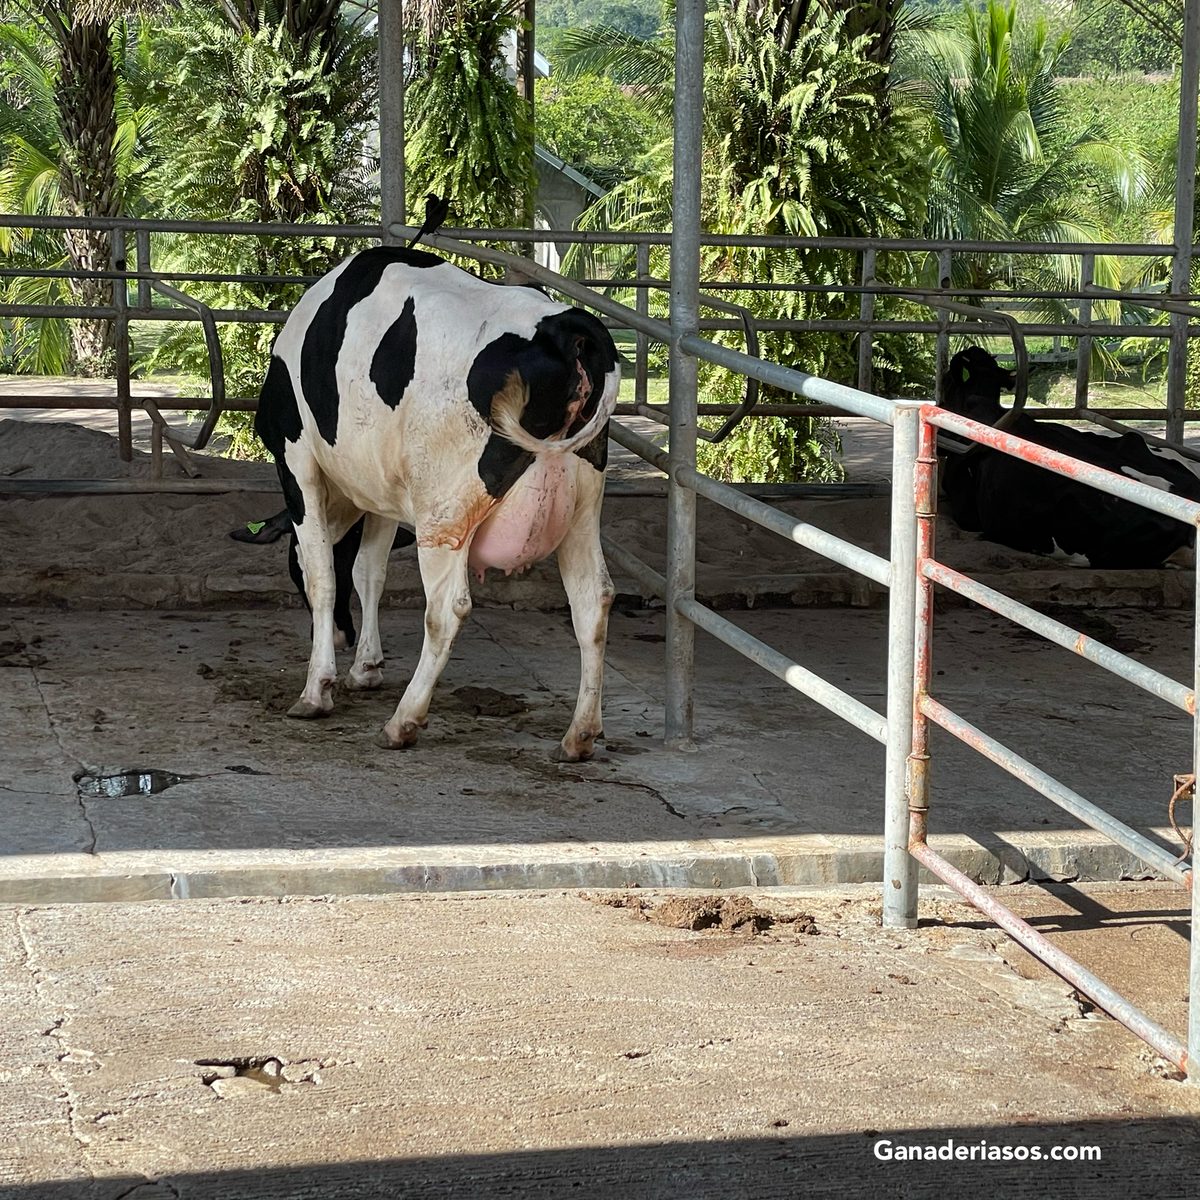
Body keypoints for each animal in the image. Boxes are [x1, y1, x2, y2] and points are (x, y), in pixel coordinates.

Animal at [254, 245, 620, 760]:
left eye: (289, 567)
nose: (344, 636)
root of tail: (564, 326)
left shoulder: (297, 461)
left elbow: (324, 575)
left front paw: (317, 689)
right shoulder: (383, 492)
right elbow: (370, 571)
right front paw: (366, 668)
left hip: (444, 512)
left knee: (448, 609)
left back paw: (402, 721)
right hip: (582, 511)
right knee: (593, 601)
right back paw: (580, 735)